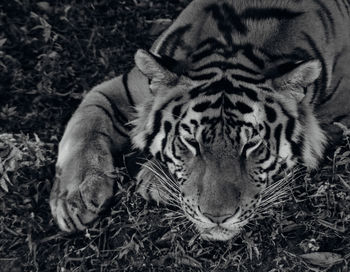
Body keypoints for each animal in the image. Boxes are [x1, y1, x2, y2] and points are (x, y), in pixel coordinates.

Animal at [49, 0, 350, 241]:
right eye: (190, 141)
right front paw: (74, 199)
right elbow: (85, 123)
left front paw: (153, 178)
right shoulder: (124, 88)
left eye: (252, 144)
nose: (217, 217)